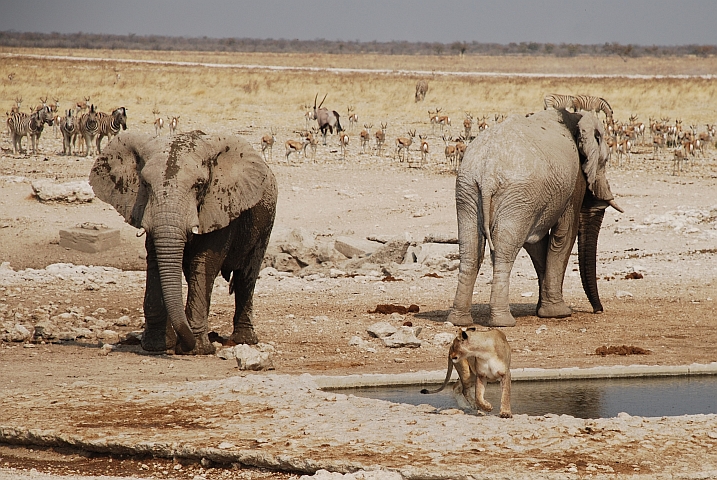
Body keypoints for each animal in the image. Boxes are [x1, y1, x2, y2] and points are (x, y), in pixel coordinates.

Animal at [89, 130, 277, 354]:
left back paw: (243, 340)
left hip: (265, 222)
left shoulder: (219, 205)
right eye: (145, 184)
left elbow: (204, 262)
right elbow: (155, 261)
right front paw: (157, 346)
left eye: (199, 185)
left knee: (246, 276)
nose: (184, 345)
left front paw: (197, 350)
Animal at [448, 109, 623, 328]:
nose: (598, 310)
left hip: (469, 190)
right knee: (504, 252)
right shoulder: (573, 183)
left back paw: (459, 320)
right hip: (515, 195)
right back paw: (503, 322)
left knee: (470, 251)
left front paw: (544, 310)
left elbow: (536, 243)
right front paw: (559, 313)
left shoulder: (534, 202)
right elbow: (563, 237)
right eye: (605, 161)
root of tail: (488, 173)